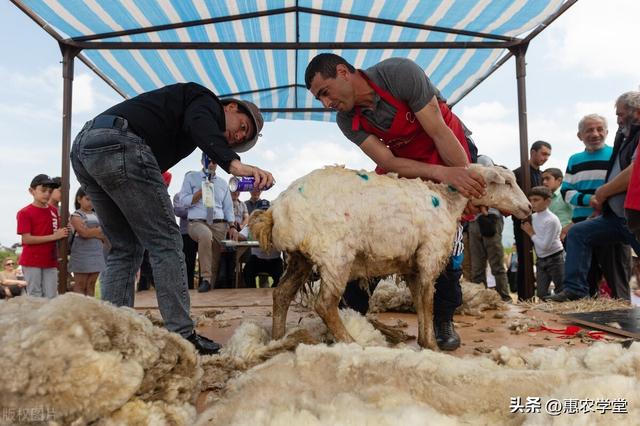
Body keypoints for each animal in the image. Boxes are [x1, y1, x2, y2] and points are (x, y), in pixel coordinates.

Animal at [250, 164, 528, 350]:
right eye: (507, 182)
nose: (527, 208)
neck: (448, 202)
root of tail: (276, 210)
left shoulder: (411, 265)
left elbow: (419, 300)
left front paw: (424, 340)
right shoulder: (429, 254)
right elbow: (428, 300)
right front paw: (432, 345)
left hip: (301, 257)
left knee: (281, 294)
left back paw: (278, 339)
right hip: (335, 254)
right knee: (325, 304)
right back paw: (352, 342)